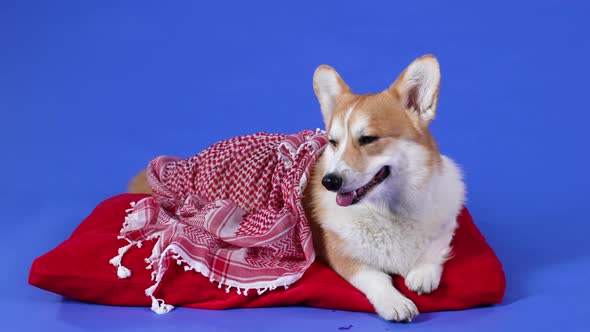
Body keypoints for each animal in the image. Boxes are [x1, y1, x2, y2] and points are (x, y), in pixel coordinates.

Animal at [130, 54, 468, 322]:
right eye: (333, 142)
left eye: (368, 139)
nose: (329, 182)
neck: (391, 210)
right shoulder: (344, 257)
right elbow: (375, 277)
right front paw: (396, 301)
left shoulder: (445, 225)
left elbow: (435, 248)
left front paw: (422, 275)